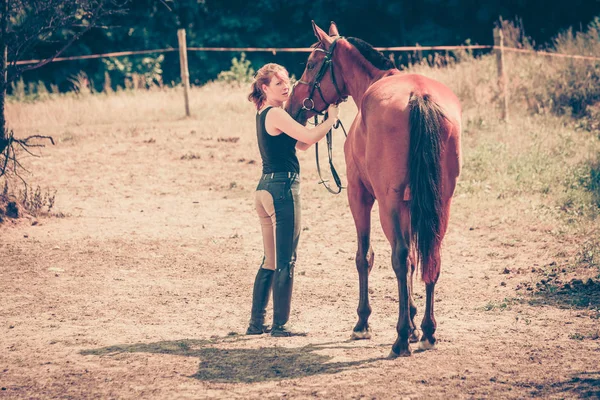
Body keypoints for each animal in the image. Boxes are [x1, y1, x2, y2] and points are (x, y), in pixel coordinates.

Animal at [284, 21, 462, 356]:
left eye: (311, 64)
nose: (292, 107)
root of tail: (420, 95)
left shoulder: (360, 196)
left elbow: (365, 256)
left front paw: (364, 323)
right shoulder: (410, 203)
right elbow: (415, 260)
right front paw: (415, 323)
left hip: (387, 203)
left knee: (399, 256)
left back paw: (400, 339)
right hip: (440, 202)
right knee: (431, 256)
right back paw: (428, 332)